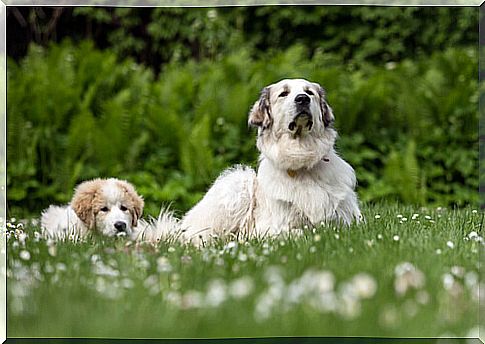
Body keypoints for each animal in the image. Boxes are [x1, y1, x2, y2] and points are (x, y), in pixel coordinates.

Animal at [180, 78, 362, 245]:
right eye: (284, 93)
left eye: (309, 92)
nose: (303, 99)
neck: (302, 160)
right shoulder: (271, 228)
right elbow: (302, 232)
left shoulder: (348, 220)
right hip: (239, 181)